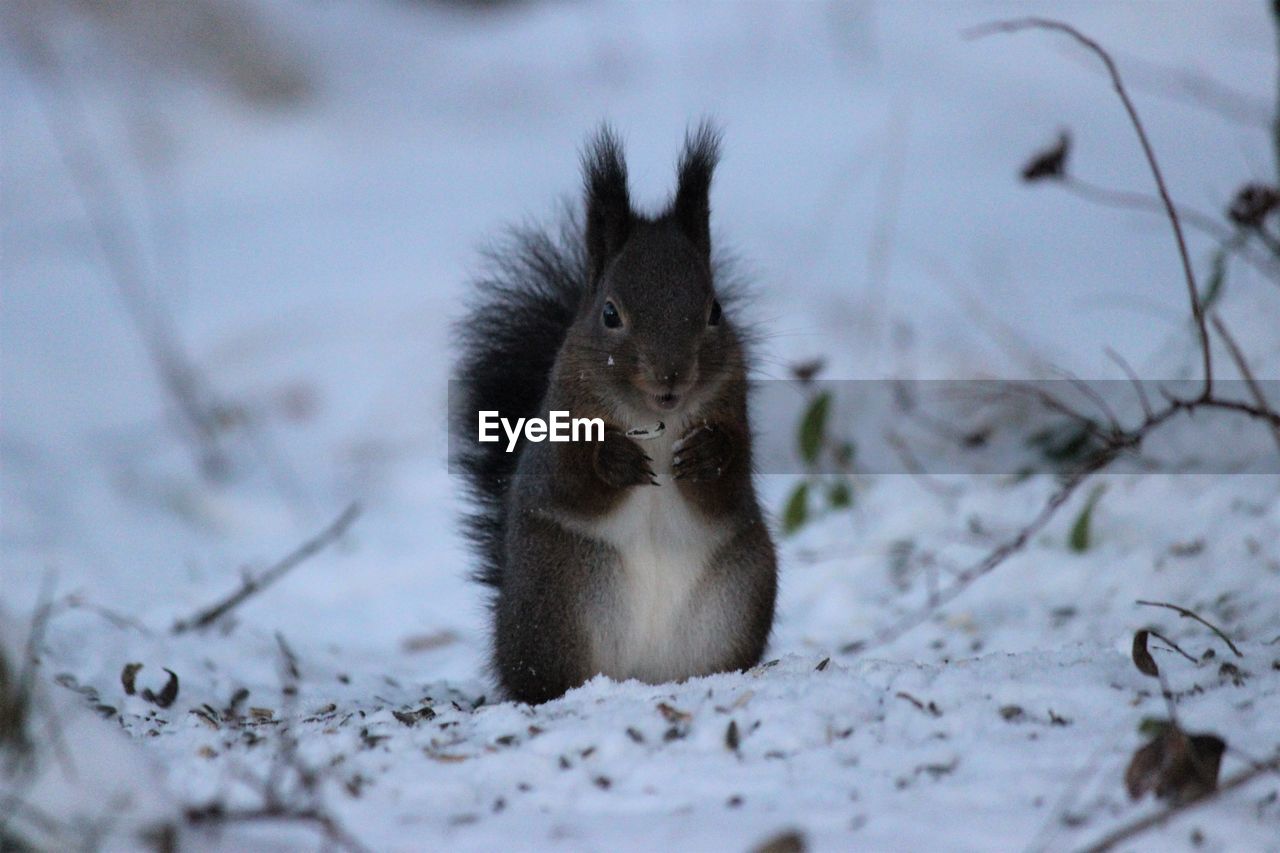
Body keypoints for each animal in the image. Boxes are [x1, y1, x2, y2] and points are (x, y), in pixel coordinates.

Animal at [455, 121, 773, 701]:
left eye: (715, 311)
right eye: (609, 314)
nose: (671, 379)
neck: (657, 420)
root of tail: (640, 677)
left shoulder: (734, 407)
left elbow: (729, 484)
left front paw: (707, 454)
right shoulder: (556, 432)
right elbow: (571, 481)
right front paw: (615, 461)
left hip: (740, 592)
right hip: (557, 600)